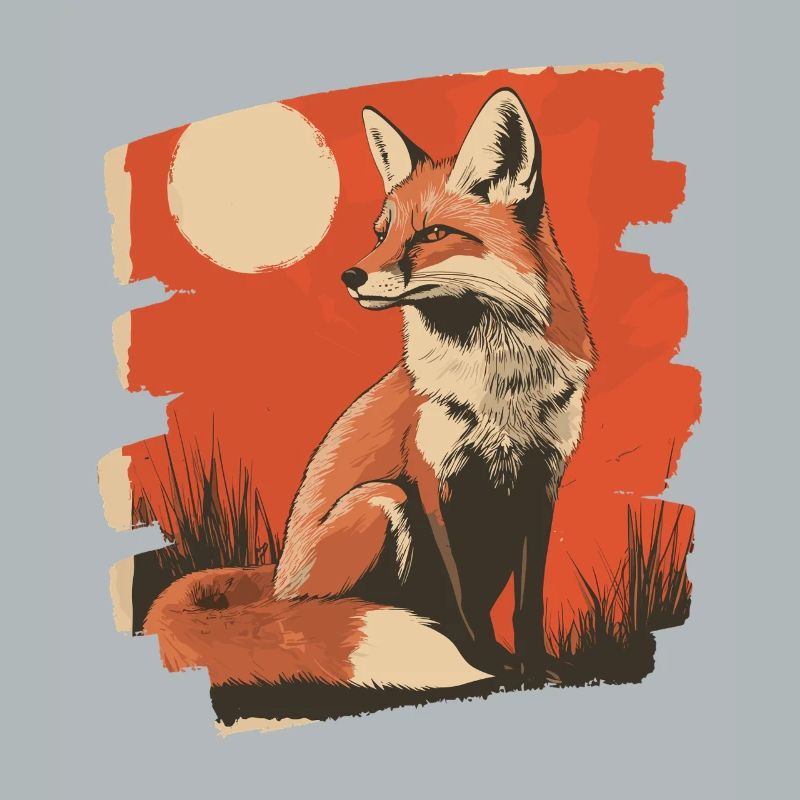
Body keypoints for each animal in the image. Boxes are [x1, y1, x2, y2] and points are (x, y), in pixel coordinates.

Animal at [146, 88, 595, 696]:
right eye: (381, 232)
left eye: (432, 234)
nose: (349, 276)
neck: (500, 389)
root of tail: (277, 579)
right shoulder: (431, 482)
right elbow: (463, 600)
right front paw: (486, 665)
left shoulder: (541, 482)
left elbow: (528, 605)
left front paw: (534, 668)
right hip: (381, 501)